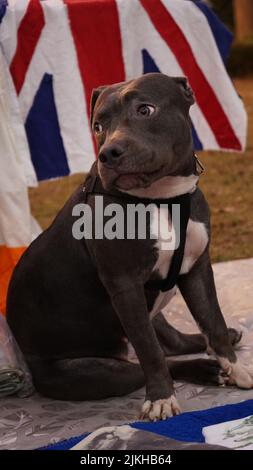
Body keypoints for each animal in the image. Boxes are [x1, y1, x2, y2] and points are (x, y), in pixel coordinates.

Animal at [6, 74, 253, 422]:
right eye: (98, 126)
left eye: (145, 110)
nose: (108, 153)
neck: (163, 199)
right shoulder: (125, 286)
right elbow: (151, 353)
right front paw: (162, 399)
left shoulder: (198, 268)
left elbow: (212, 320)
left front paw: (234, 367)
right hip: (97, 372)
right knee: (151, 360)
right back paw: (204, 370)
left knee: (172, 340)